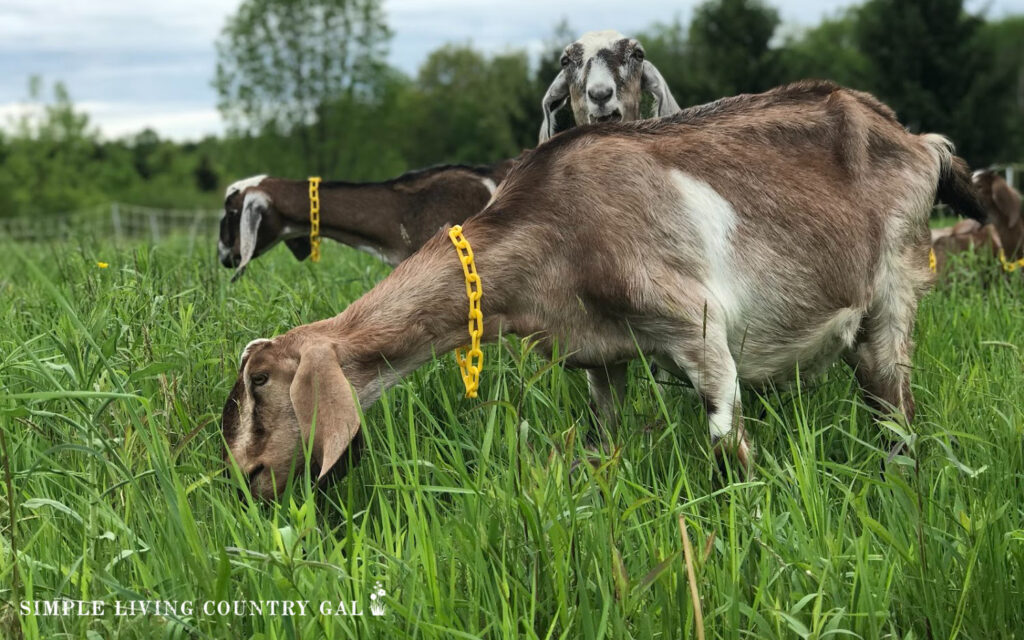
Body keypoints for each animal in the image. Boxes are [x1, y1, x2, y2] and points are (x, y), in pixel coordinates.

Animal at [220, 80, 987, 499]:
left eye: (260, 382)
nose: (248, 476)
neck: (554, 224)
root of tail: (921, 141)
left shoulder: (698, 330)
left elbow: (730, 455)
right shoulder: (600, 358)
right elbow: (602, 445)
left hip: (893, 295)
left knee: (898, 412)